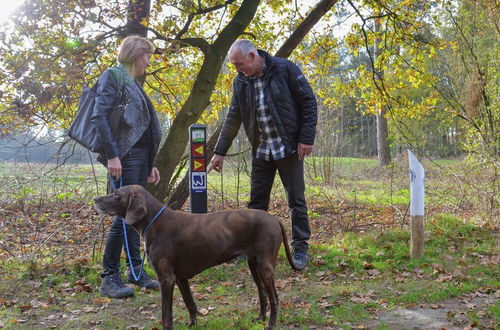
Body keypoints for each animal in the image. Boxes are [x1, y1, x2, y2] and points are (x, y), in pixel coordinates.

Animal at [94, 186, 298, 330]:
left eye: (117, 194)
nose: (95, 199)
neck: (154, 222)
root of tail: (273, 218)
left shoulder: (166, 278)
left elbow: (166, 314)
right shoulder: (179, 277)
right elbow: (189, 302)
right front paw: (193, 323)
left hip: (265, 265)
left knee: (274, 297)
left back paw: (270, 324)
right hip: (253, 263)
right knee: (262, 292)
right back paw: (260, 318)